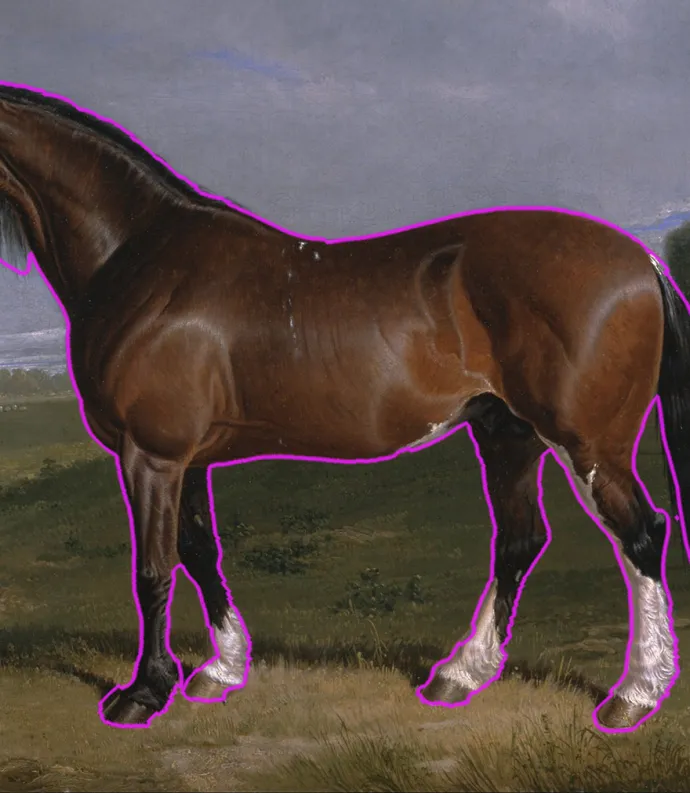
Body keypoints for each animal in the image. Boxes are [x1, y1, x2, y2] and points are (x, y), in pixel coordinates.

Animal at [0, 82, 688, 735]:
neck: (140, 256)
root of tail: (643, 261)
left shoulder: (152, 454)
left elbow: (152, 571)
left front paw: (143, 694)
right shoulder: (187, 459)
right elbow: (198, 553)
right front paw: (221, 669)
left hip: (588, 444)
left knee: (641, 534)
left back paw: (633, 696)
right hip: (507, 434)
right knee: (521, 540)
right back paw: (461, 675)